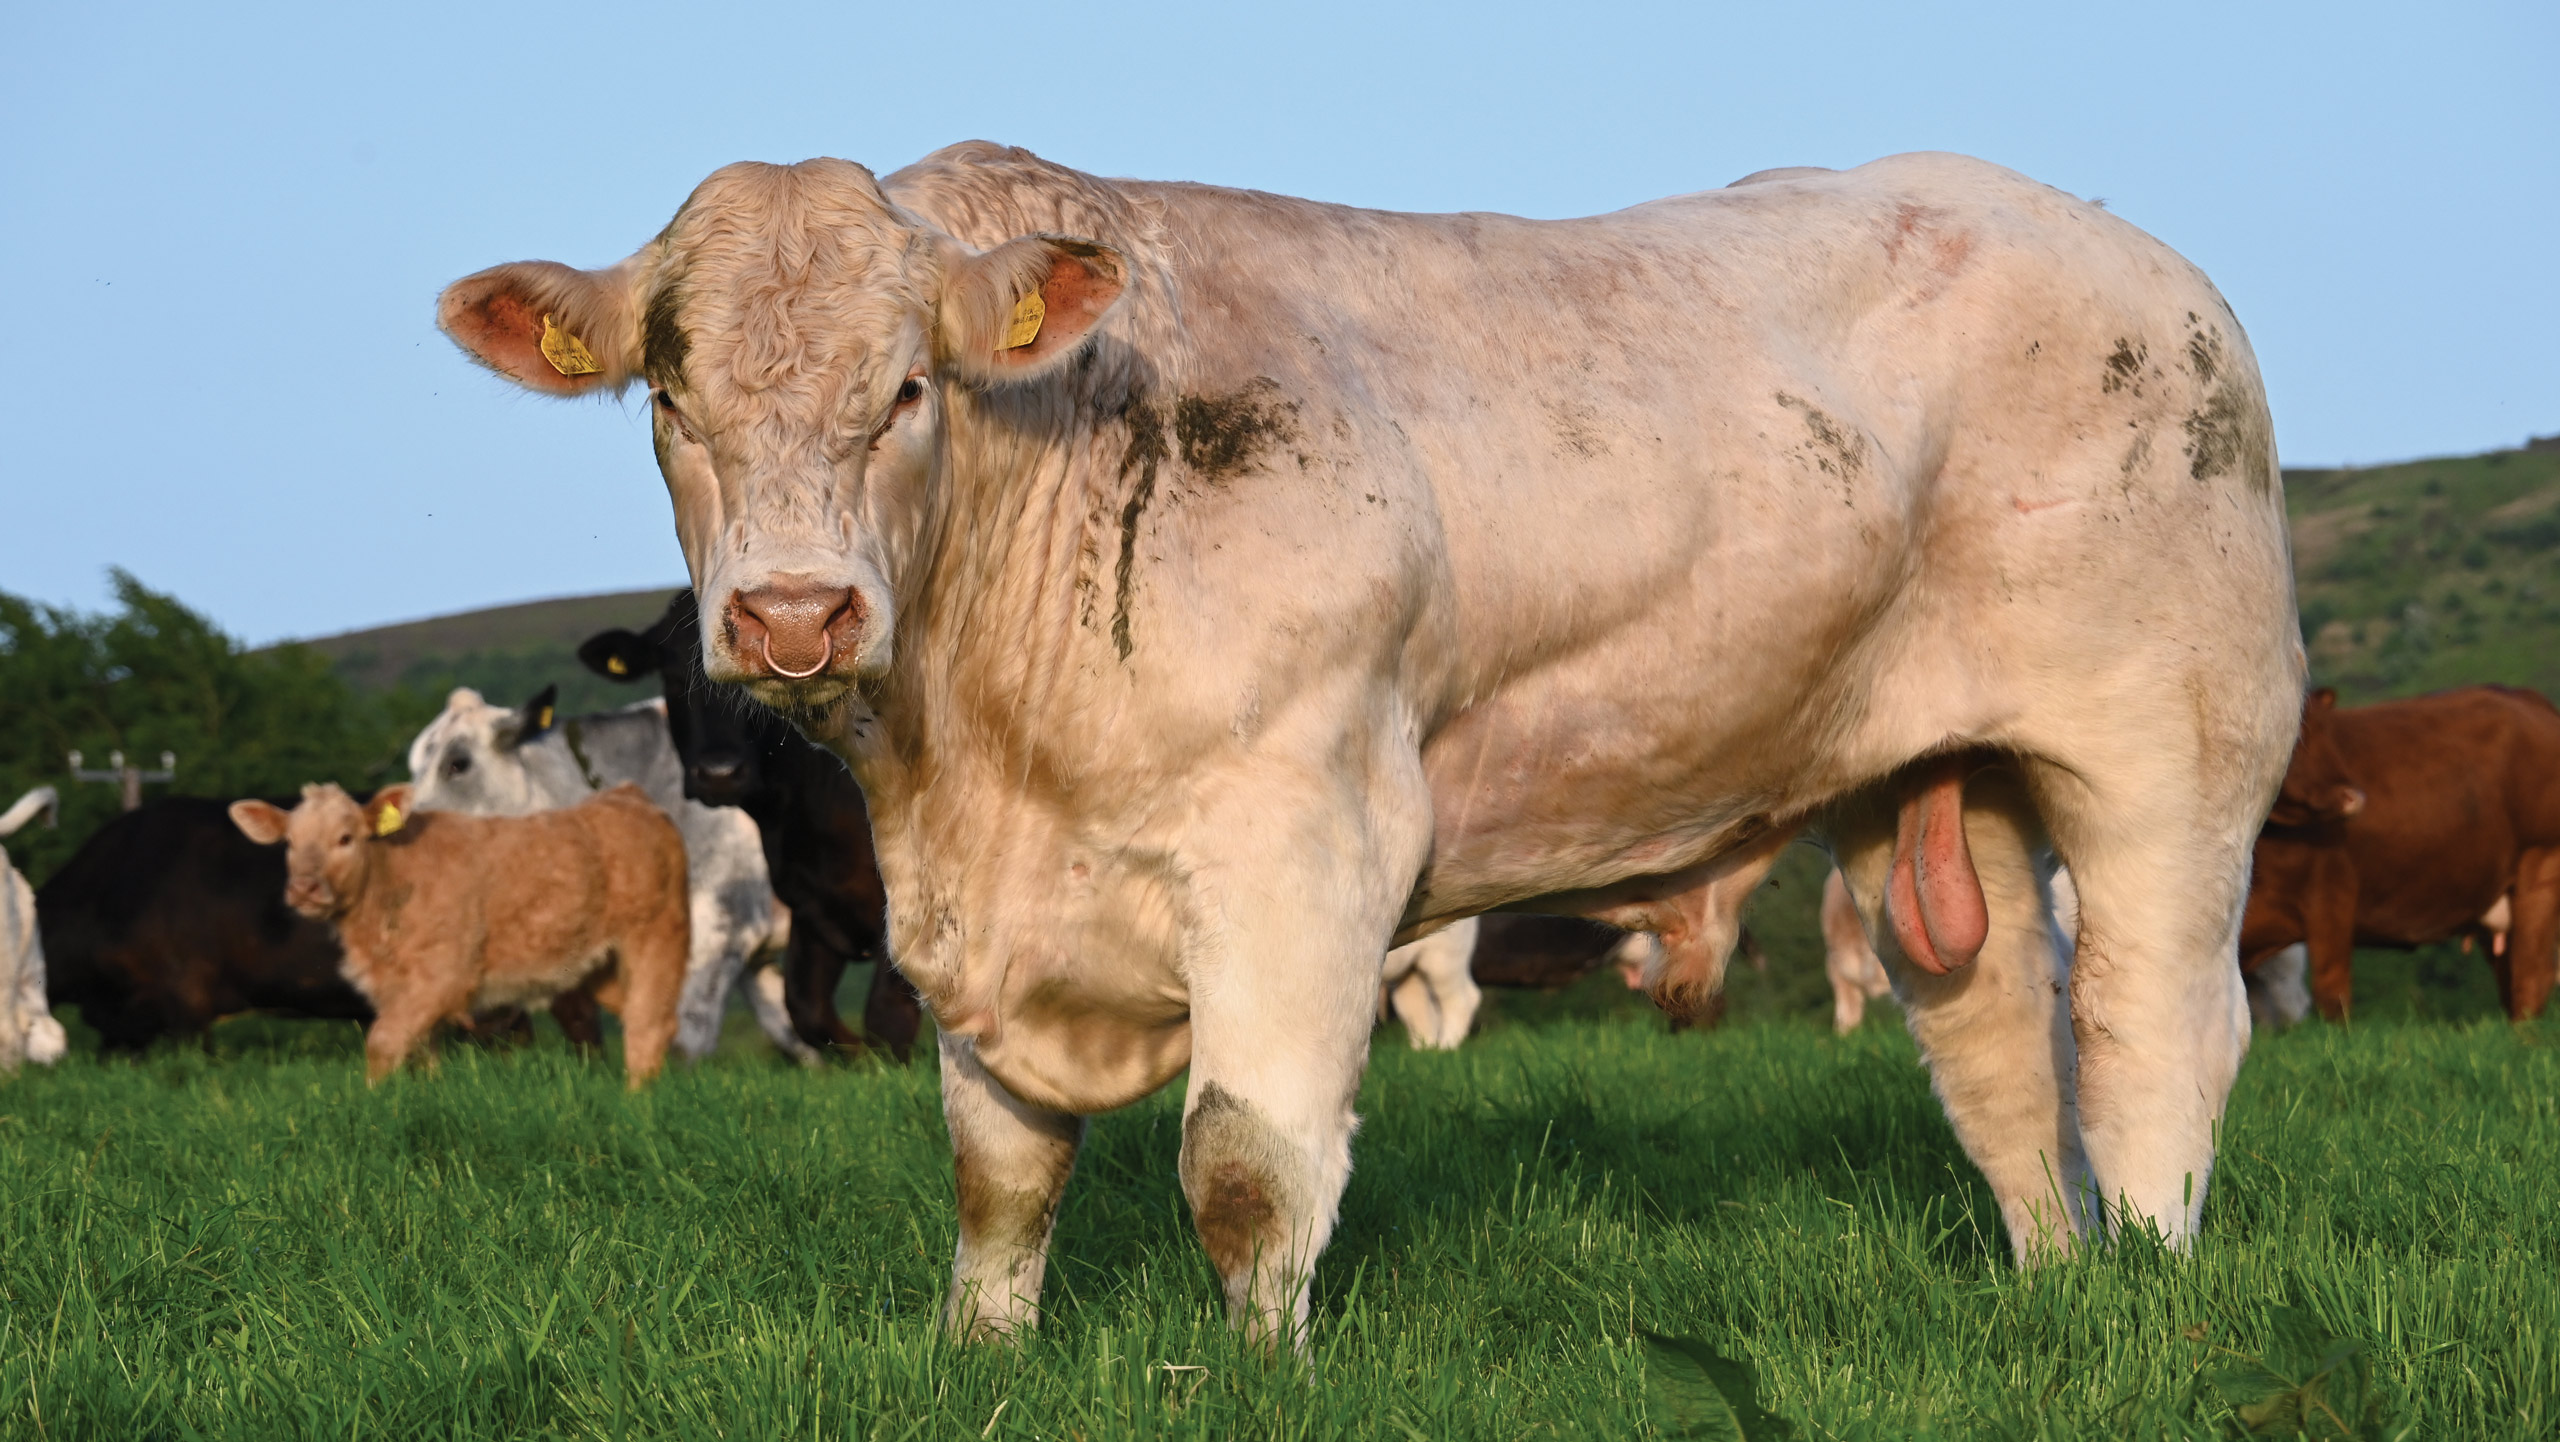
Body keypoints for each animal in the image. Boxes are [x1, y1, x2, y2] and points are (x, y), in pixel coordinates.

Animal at [230, 783, 689, 1085]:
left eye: (345, 838)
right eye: (290, 842)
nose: (304, 888)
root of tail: (628, 795)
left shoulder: (444, 975)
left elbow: (382, 1042)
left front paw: (371, 1104)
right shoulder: (400, 988)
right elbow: (419, 1052)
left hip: (657, 936)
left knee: (649, 1024)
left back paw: (636, 1106)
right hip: (599, 966)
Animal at [405, 685, 817, 1063]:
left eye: (458, 763)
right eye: (414, 768)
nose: (406, 832)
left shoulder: (720, 928)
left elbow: (685, 1040)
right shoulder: (752, 953)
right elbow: (795, 1033)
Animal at [2240, 685, 2560, 1020]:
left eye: (2323, 731)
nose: (2353, 796)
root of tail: (2525, 697)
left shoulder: (2332, 895)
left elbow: (2332, 995)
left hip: (2541, 865)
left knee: (2532, 975)